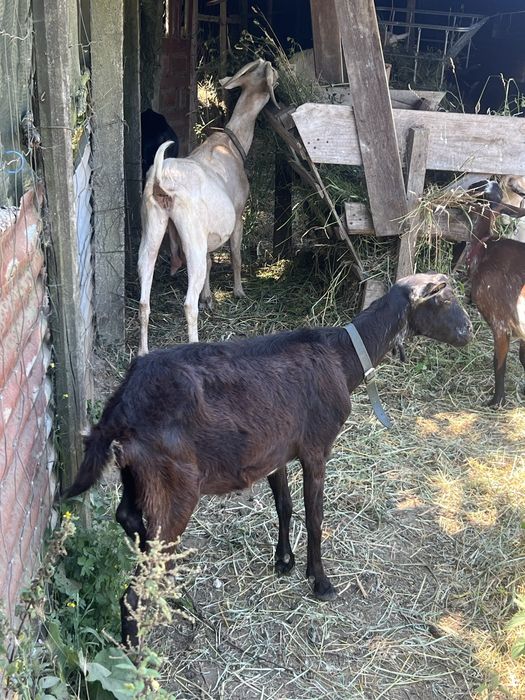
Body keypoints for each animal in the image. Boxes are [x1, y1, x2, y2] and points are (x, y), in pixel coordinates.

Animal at [63, 272, 472, 647]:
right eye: (442, 299)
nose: (467, 332)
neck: (343, 357)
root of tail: (121, 407)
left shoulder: (276, 452)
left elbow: (284, 506)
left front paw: (284, 561)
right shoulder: (316, 448)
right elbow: (314, 517)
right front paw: (320, 581)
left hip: (137, 472)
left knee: (129, 519)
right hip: (174, 483)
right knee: (136, 586)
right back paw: (136, 653)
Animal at [138, 58, 278, 352]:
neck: (231, 144)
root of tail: (161, 180)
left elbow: (211, 260)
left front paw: (209, 298)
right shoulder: (238, 214)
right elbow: (235, 254)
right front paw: (238, 291)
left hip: (153, 227)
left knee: (144, 299)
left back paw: (143, 350)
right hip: (190, 234)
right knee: (187, 304)